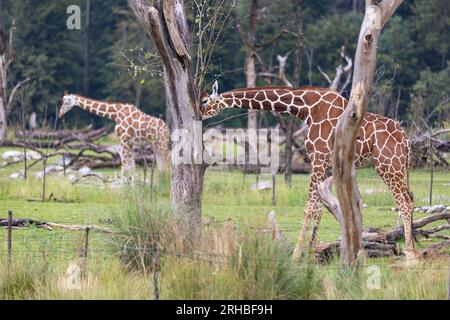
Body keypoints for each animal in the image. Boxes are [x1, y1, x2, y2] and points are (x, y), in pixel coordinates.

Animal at [200, 81, 414, 258]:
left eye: (204, 100)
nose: (200, 113)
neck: (307, 108)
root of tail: (406, 140)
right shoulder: (325, 163)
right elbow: (319, 208)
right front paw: (312, 251)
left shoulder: (317, 159)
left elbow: (309, 207)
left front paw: (296, 254)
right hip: (398, 167)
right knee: (409, 198)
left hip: (387, 165)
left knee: (404, 202)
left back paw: (411, 255)